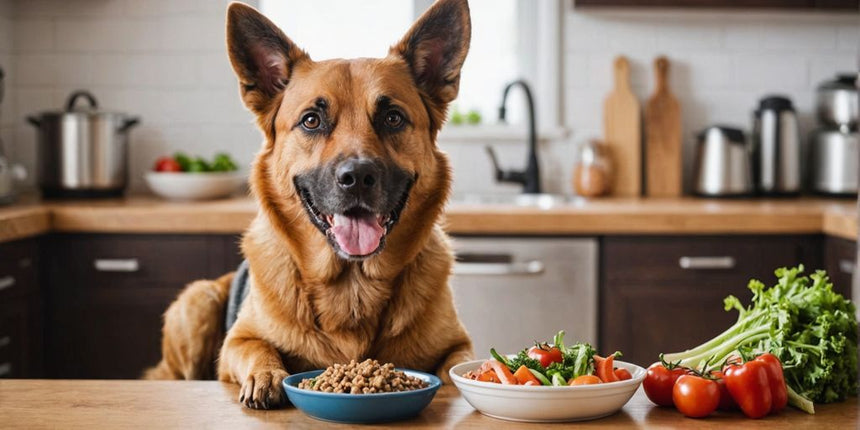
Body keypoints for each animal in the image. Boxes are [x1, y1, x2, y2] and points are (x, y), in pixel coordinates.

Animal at [144, 0, 474, 410]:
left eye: (393, 117)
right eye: (312, 120)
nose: (358, 177)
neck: (352, 287)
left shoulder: (460, 344)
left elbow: (459, 363)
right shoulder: (237, 341)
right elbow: (258, 348)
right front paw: (267, 376)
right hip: (196, 302)